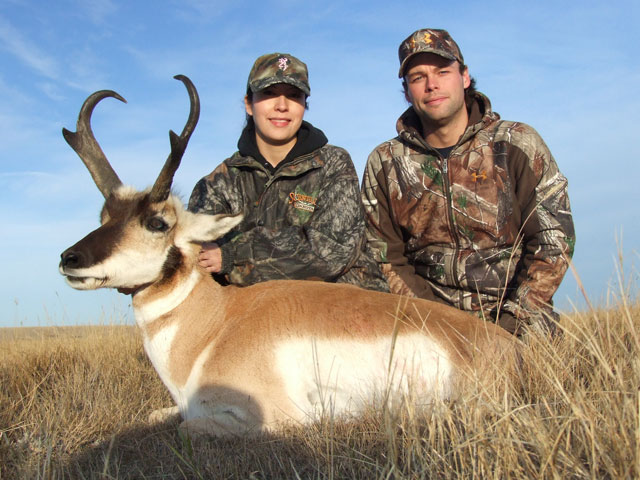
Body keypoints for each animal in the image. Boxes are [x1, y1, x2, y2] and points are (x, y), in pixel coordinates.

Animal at [60, 75, 516, 438]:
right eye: (104, 216)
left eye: (157, 222)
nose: (69, 258)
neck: (215, 324)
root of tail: (512, 347)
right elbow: (157, 416)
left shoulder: (275, 417)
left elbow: (187, 427)